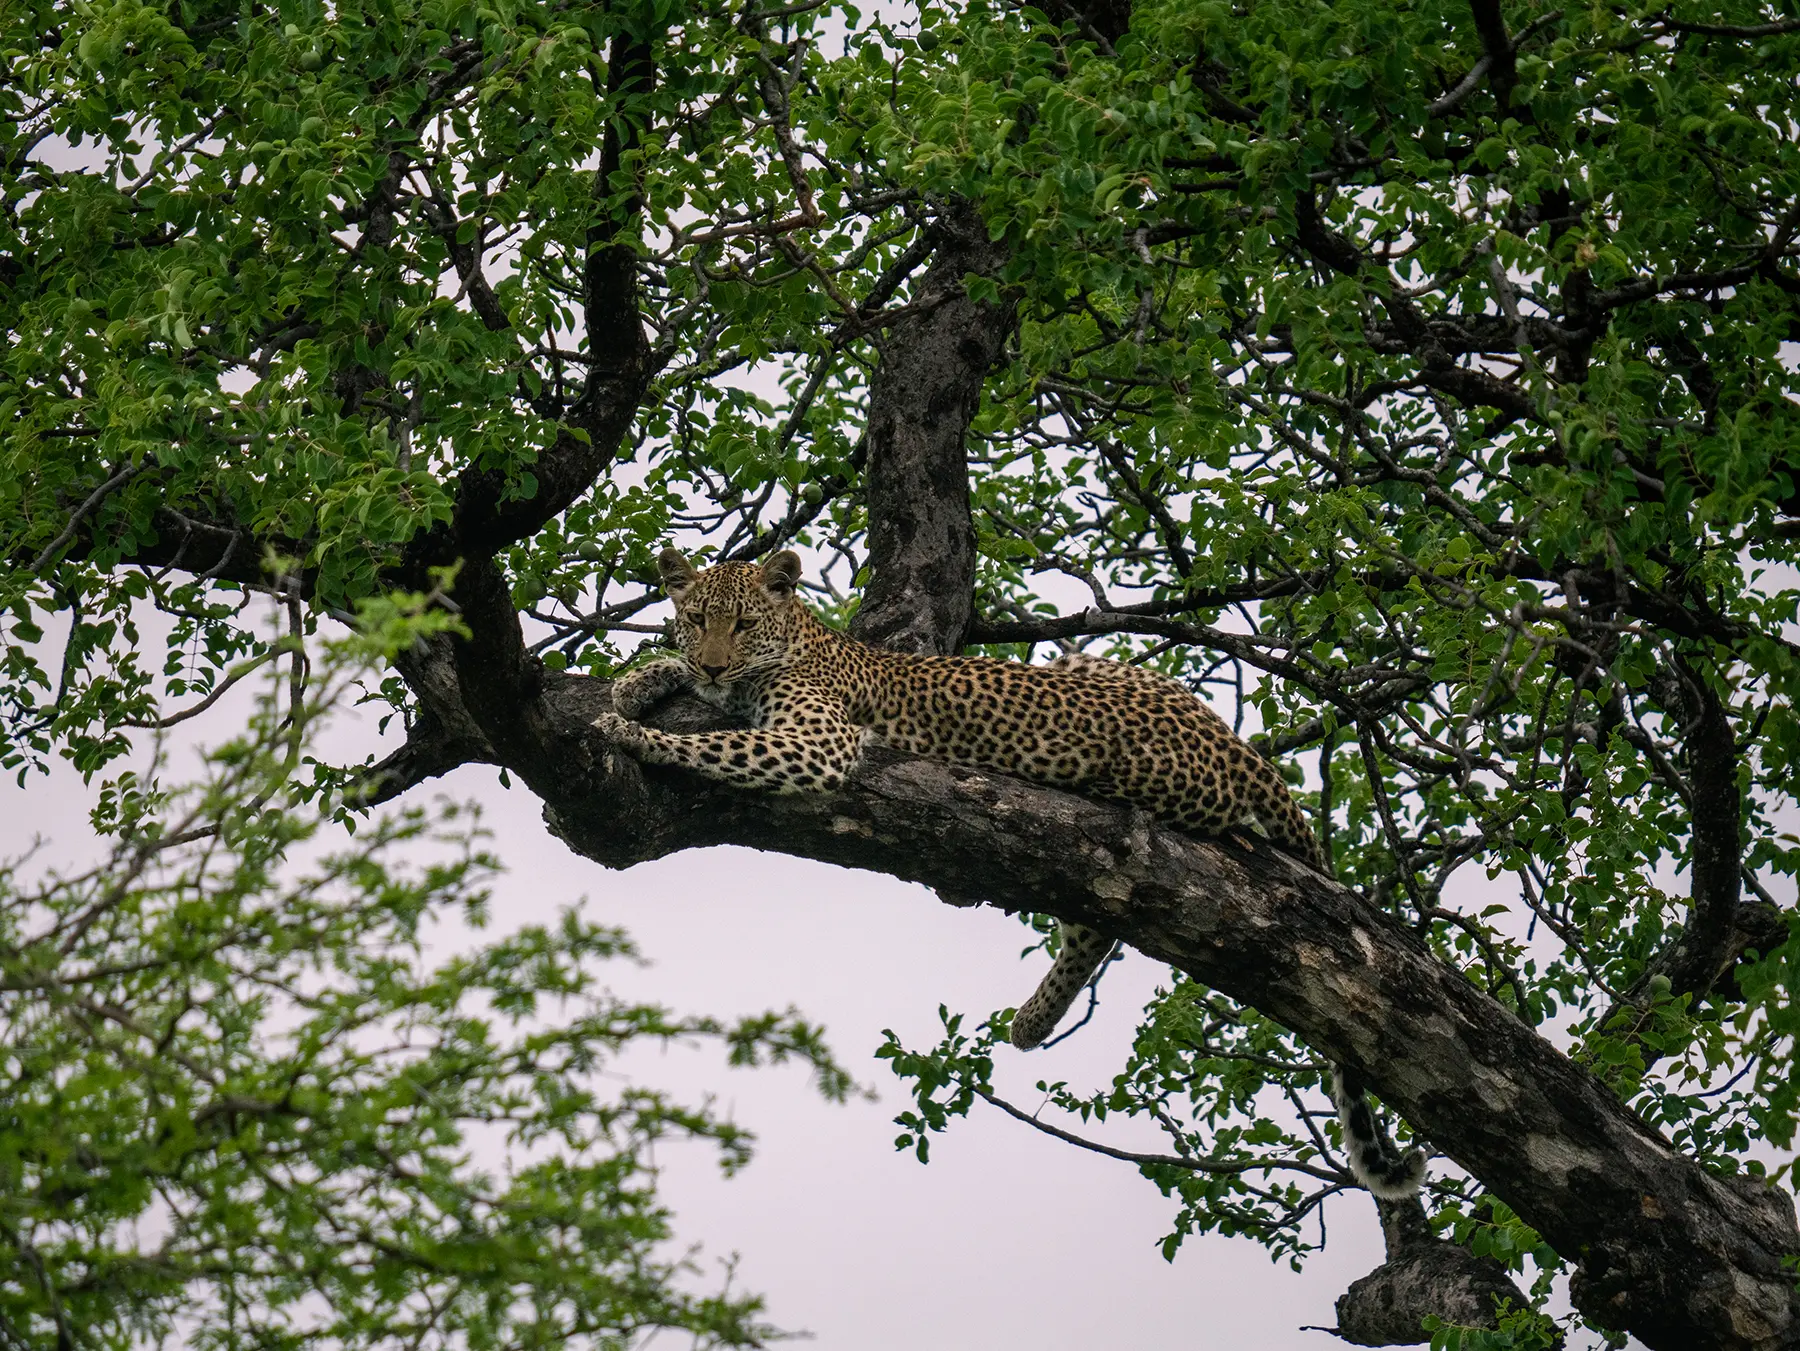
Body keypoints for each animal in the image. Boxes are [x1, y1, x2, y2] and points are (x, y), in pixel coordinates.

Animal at [593, 547, 1427, 1200]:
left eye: (741, 623)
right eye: (695, 616)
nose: (710, 661)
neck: (797, 640)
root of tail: (1237, 746)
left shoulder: (817, 742)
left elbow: (715, 744)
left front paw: (629, 730)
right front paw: (638, 681)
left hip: (1135, 783)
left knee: (1104, 909)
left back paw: (1033, 1017)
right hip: (1094, 664)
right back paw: (1033, 1016)